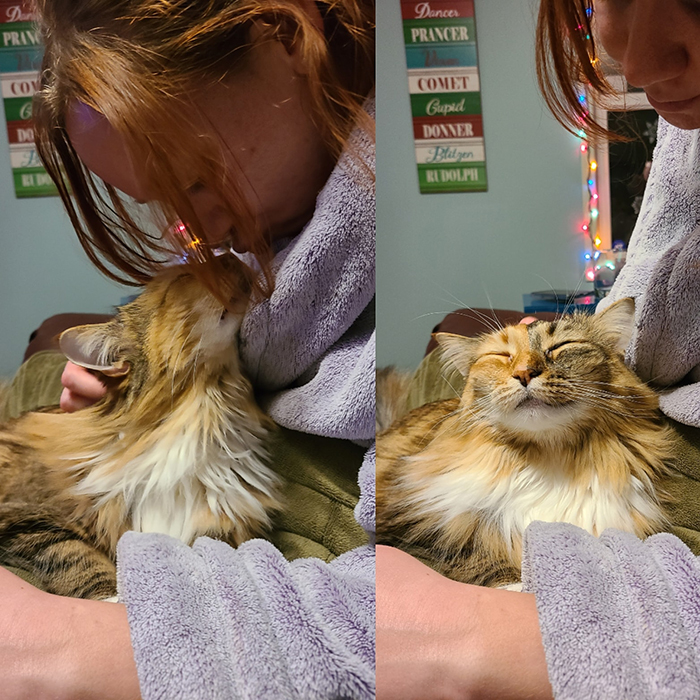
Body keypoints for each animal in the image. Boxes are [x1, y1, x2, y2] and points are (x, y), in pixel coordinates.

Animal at [378, 298, 680, 588]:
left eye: (560, 347)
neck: (548, 458)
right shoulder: (412, 531)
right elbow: (476, 558)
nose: (524, 373)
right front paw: (515, 586)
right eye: (501, 356)